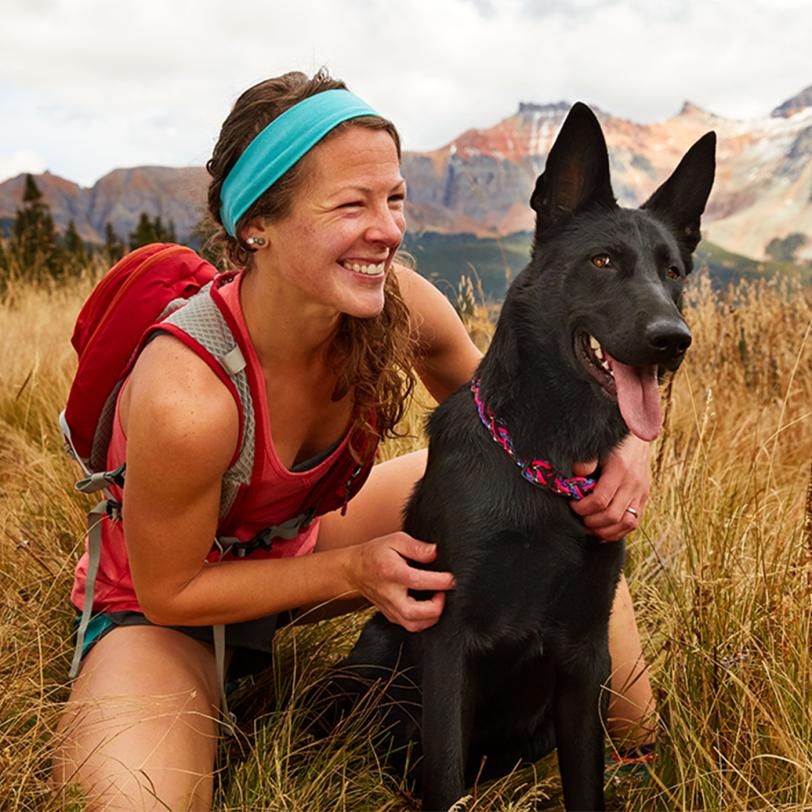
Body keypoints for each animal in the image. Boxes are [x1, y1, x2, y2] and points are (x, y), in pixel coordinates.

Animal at [334, 103, 712, 812]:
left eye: (673, 273)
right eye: (602, 259)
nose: (673, 341)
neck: (545, 461)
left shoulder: (586, 656)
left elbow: (586, 782)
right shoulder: (447, 638)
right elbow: (445, 775)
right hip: (376, 648)